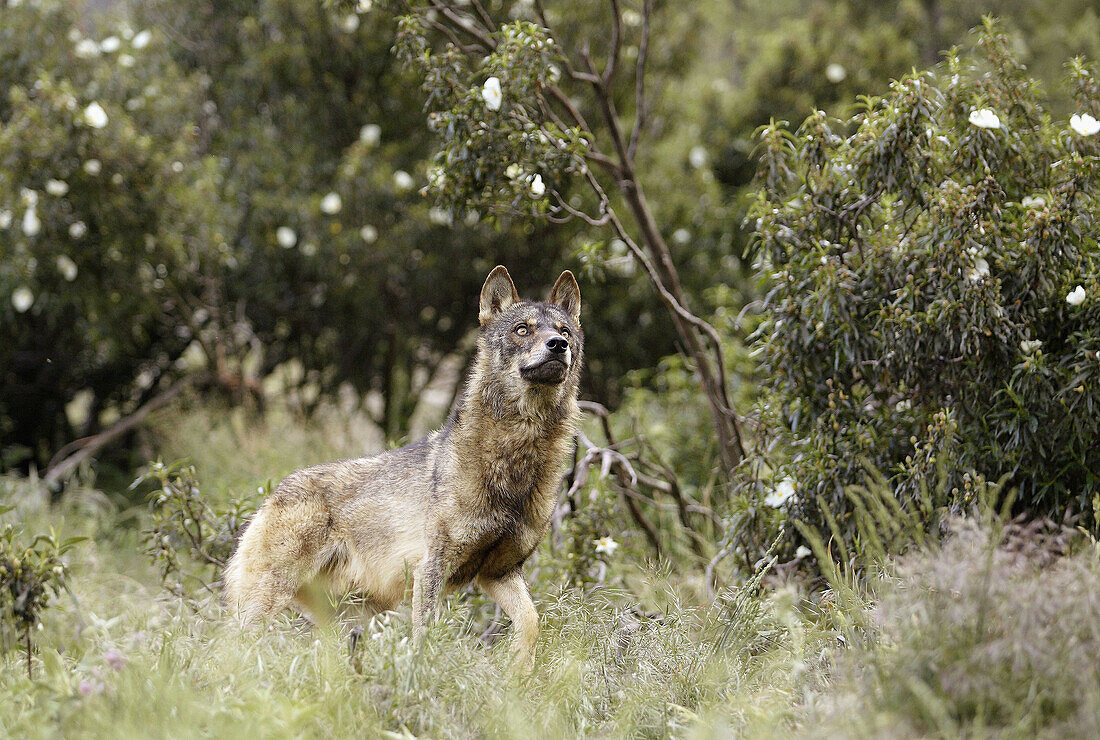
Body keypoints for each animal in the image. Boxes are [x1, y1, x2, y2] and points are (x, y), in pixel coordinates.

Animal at [223, 263, 585, 664]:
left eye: (564, 332)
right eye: (523, 330)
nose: (558, 346)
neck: (515, 461)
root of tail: (270, 496)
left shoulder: (500, 573)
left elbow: (532, 624)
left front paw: (518, 672)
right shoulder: (431, 569)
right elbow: (424, 640)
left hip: (346, 623)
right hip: (265, 607)